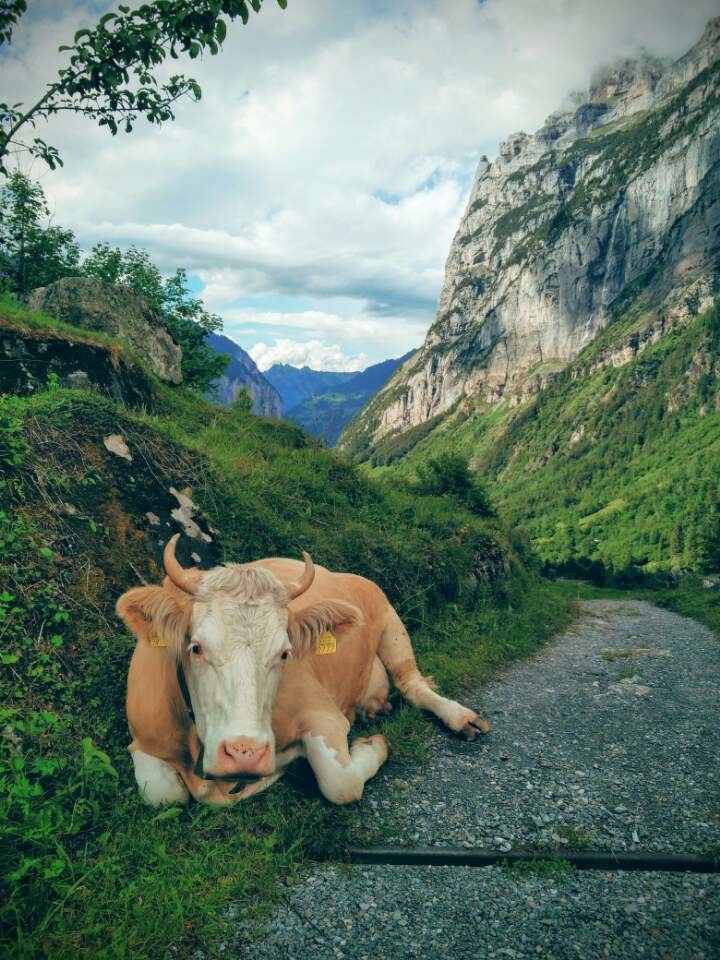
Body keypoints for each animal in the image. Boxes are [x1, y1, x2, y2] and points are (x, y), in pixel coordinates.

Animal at [118, 536, 490, 808]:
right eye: (196, 647)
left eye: (285, 653)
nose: (244, 752)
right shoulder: (142, 740)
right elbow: (162, 795)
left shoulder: (322, 716)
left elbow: (340, 783)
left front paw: (371, 745)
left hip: (392, 624)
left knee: (412, 683)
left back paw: (460, 718)